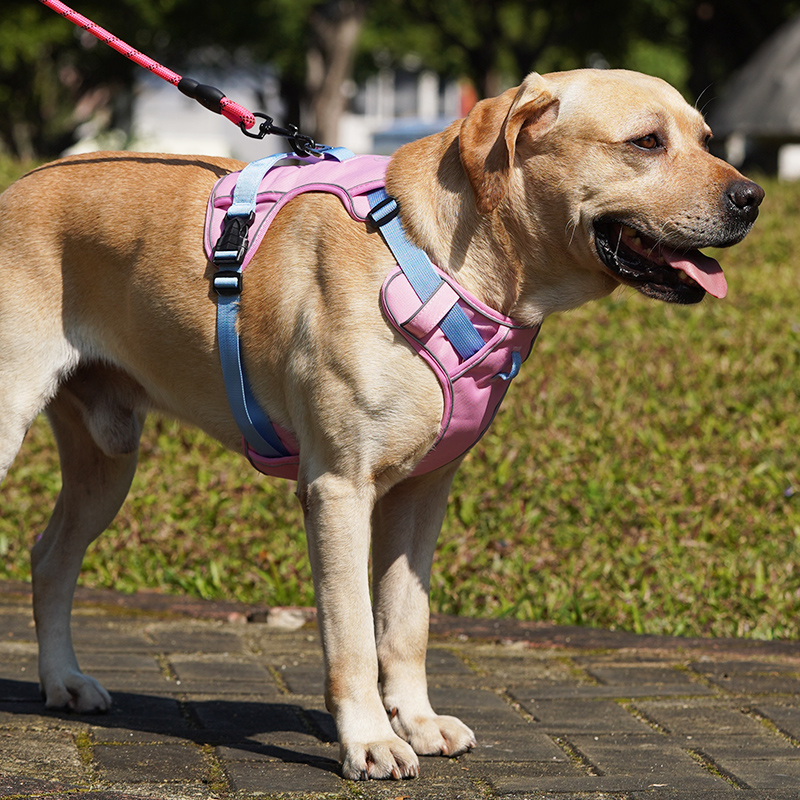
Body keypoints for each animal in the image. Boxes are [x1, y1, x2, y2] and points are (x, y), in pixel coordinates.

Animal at [0, 70, 764, 780]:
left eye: (706, 139)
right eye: (646, 142)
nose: (752, 198)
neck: (444, 261)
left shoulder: (422, 495)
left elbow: (405, 626)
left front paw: (416, 722)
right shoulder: (339, 489)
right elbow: (353, 636)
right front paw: (369, 740)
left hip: (108, 458)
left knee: (50, 557)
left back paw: (63, 680)